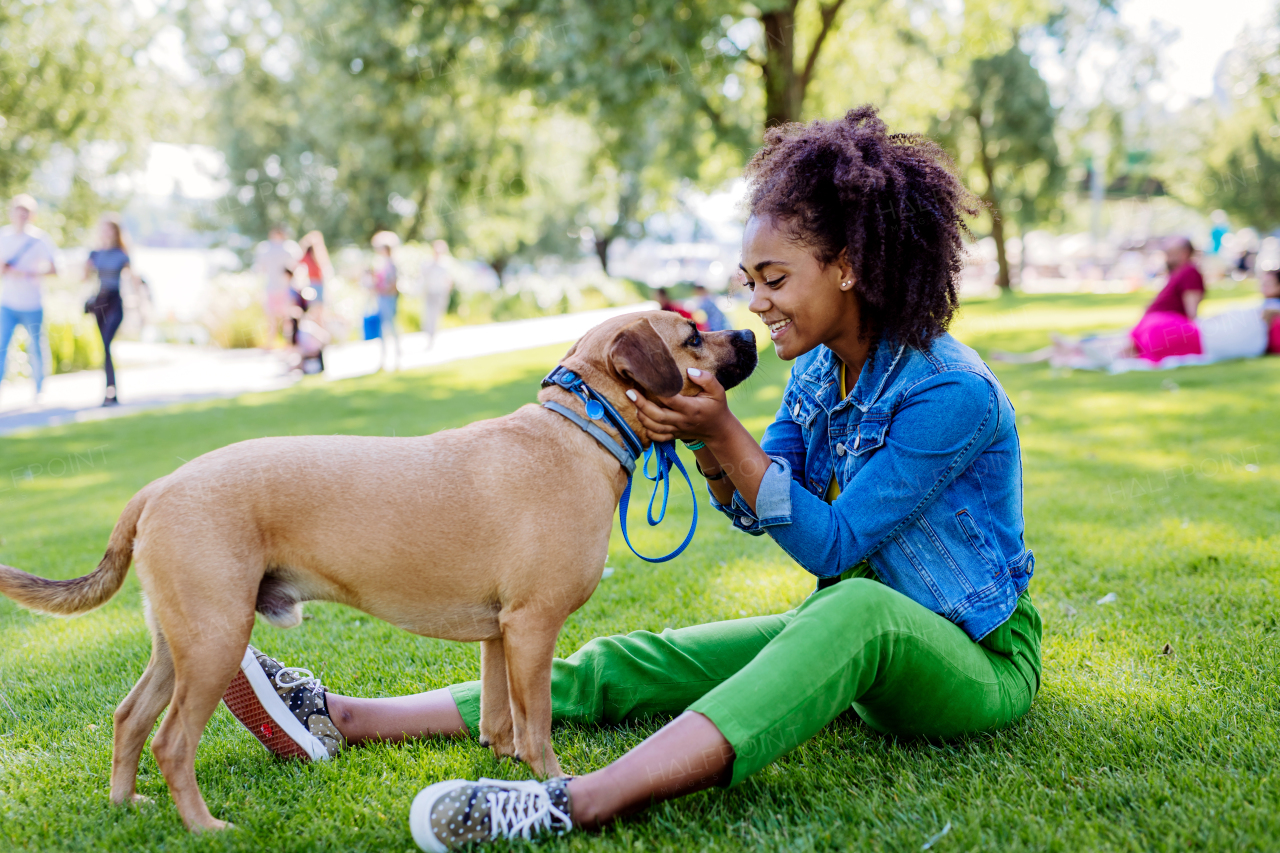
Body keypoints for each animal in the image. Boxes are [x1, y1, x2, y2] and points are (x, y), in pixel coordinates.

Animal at [0, 308, 757, 824]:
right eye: (693, 337)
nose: (750, 336)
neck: (578, 428)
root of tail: (157, 487)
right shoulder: (533, 628)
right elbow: (536, 721)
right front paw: (550, 780)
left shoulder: (500, 635)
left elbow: (499, 719)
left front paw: (504, 773)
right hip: (215, 641)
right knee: (171, 743)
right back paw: (204, 826)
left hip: (180, 642)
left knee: (129, 720)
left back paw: (126, 807)